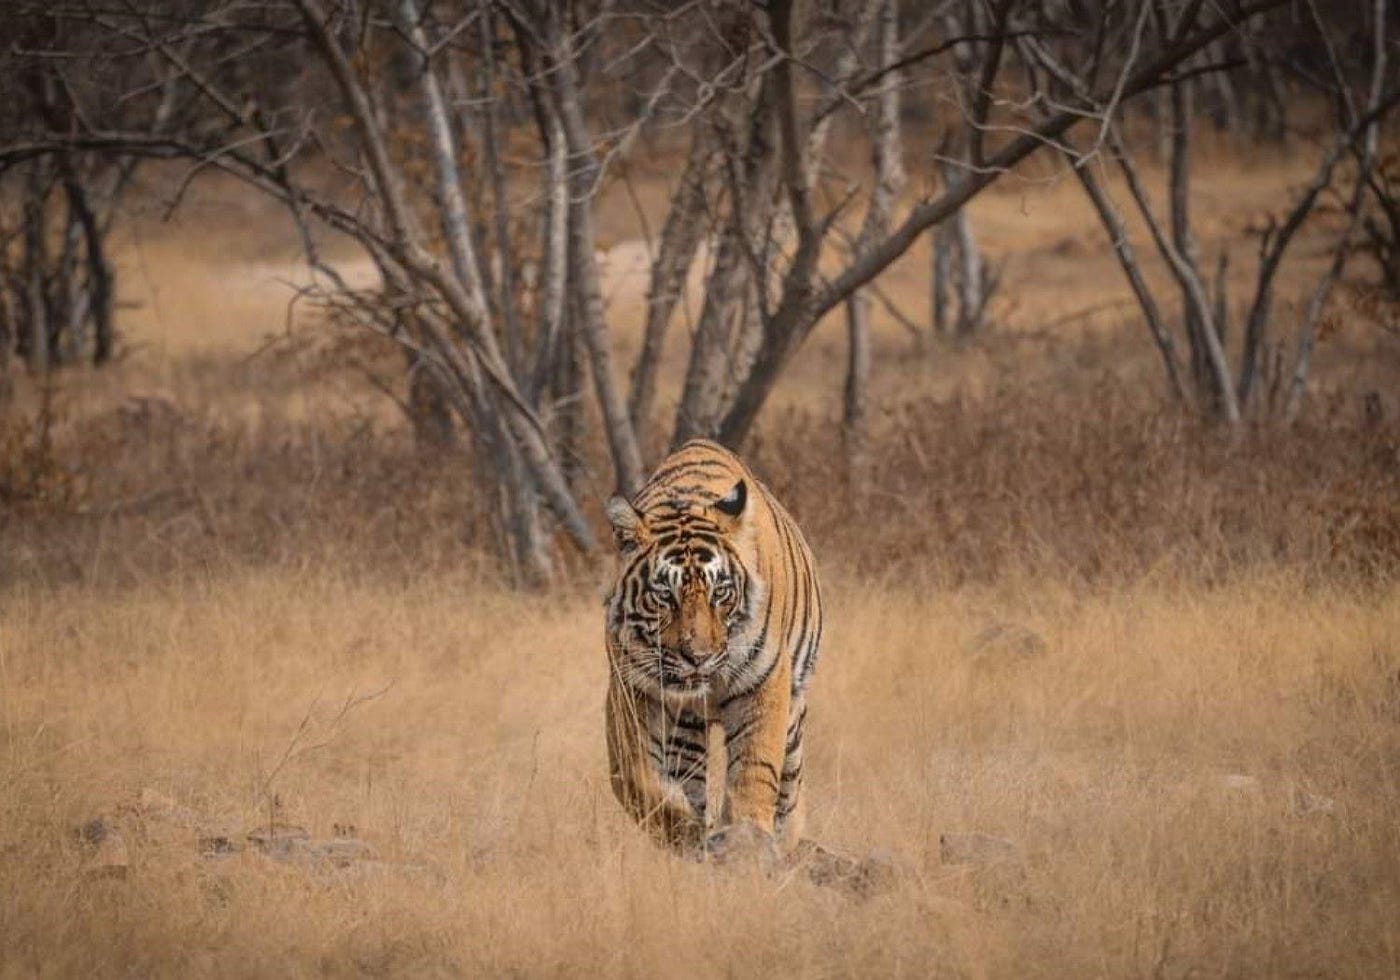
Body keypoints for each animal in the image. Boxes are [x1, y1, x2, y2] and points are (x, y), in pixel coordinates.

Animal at [603, 438, 823, 857]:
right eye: (664, 596)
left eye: (720, 592)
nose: (698, 657)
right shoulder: (632, 688)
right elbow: (636, 775)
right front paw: (686, 831)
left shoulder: (765, 681)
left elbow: (754, 767)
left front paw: (745, 842)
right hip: (687, 729)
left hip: (793, 714)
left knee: (789, 787)